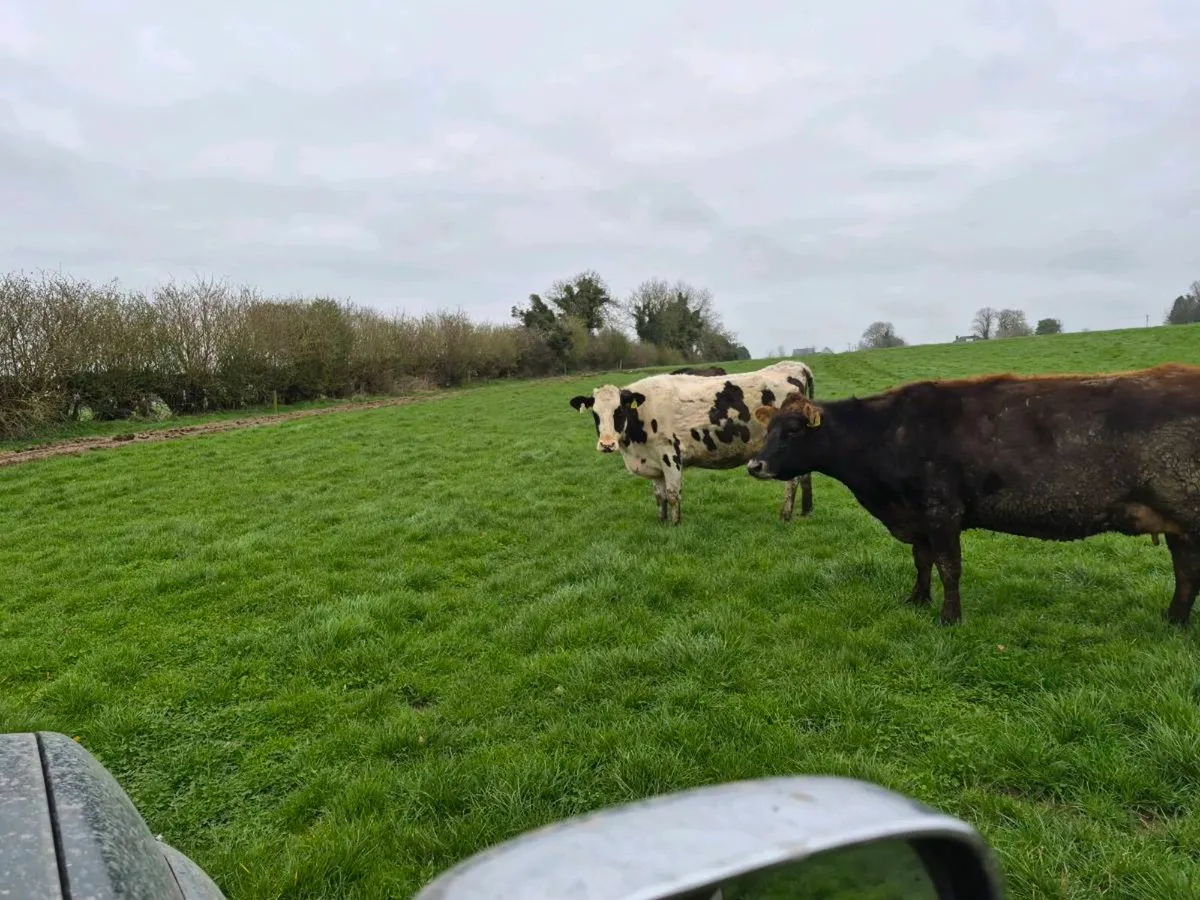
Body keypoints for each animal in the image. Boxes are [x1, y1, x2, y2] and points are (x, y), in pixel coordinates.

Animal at [569, 361, 816, 524]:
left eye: (619, 411)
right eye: (595, 414)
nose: (607, 444)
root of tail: (793, 366)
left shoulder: (669, 455)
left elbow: (672, 494)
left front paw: (676, 525)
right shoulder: (653, 462)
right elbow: (659, 496)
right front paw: (662, 523)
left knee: (792, 481)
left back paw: (785, 515)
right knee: (804, 476)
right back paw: (806, 511)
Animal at [745, 363, 1200, 626]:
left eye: (793, 430)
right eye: (769, 428)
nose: (754, 465)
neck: (887, 434)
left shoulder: (942, 511)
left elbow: (949, 567)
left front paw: (949, 618)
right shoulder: (918, 517)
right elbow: (922, 560)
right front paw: (917, 599)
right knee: (1185, 573)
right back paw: (1173, 620)